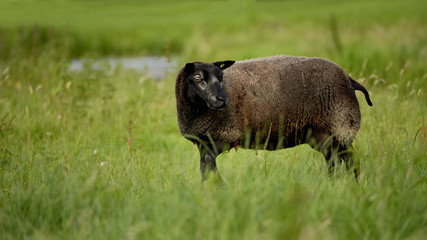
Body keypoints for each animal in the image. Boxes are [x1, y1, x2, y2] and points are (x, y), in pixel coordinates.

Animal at [176, 54, 372, 182]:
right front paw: (208, 188)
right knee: (333, 161)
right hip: (322, 134)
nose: (222, 100)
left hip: (340, 124)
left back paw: (355, 184)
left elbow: (208, 163)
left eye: (221, 76)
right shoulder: (203, 142)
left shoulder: (224, 136)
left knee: (350, 159)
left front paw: (220, 186)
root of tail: (348, 78)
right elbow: (204, 167)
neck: (195, 111)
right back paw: (333, 184)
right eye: (197, 76)